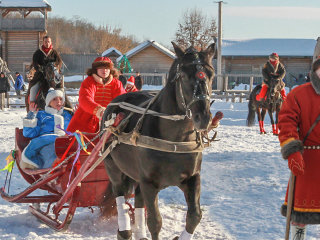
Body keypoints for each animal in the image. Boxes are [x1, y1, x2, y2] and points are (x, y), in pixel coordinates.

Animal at [100, 42, 215, 239]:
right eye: (184, 76)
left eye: (211, 74)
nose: (203, 117)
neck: (175, 140)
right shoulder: (149, 183)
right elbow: (155, 222)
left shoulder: (192, 178)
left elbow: (195, 216)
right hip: (113, 166)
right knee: (119, 193)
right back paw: (125, 230)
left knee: (138, 199)